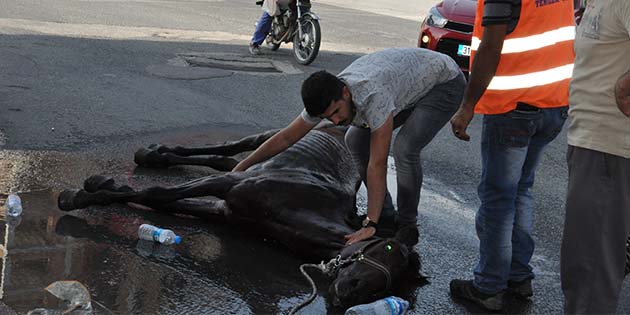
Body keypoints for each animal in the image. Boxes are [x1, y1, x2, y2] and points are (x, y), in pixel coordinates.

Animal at [58, 124, 424, 310]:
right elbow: (157, 194)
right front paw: (82, 194)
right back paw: (153, 154)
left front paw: (100, 189)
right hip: (267, 137)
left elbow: (163, 203)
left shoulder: (226, 212)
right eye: (388, 250)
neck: (307, 206)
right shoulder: (231, 187)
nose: (349, 292)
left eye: (396, 282)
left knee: (224, 160)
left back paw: (158, 155)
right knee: (229, 149)